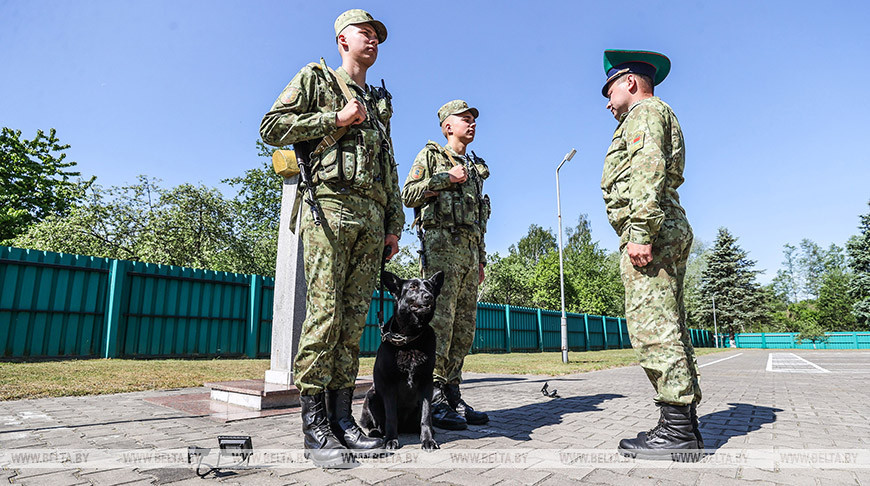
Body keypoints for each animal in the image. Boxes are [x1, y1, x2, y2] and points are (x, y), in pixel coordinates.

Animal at [360, 272, 442, 450]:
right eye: (413, 287)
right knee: (377, 425)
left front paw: (428, 439)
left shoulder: (426, 383)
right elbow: (391, 417)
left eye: (430, 287)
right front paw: (391, 439)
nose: (429, 296)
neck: (410, 338)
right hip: (372, 397)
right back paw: (377, 433)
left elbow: (426, 416)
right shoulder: (389, 386)